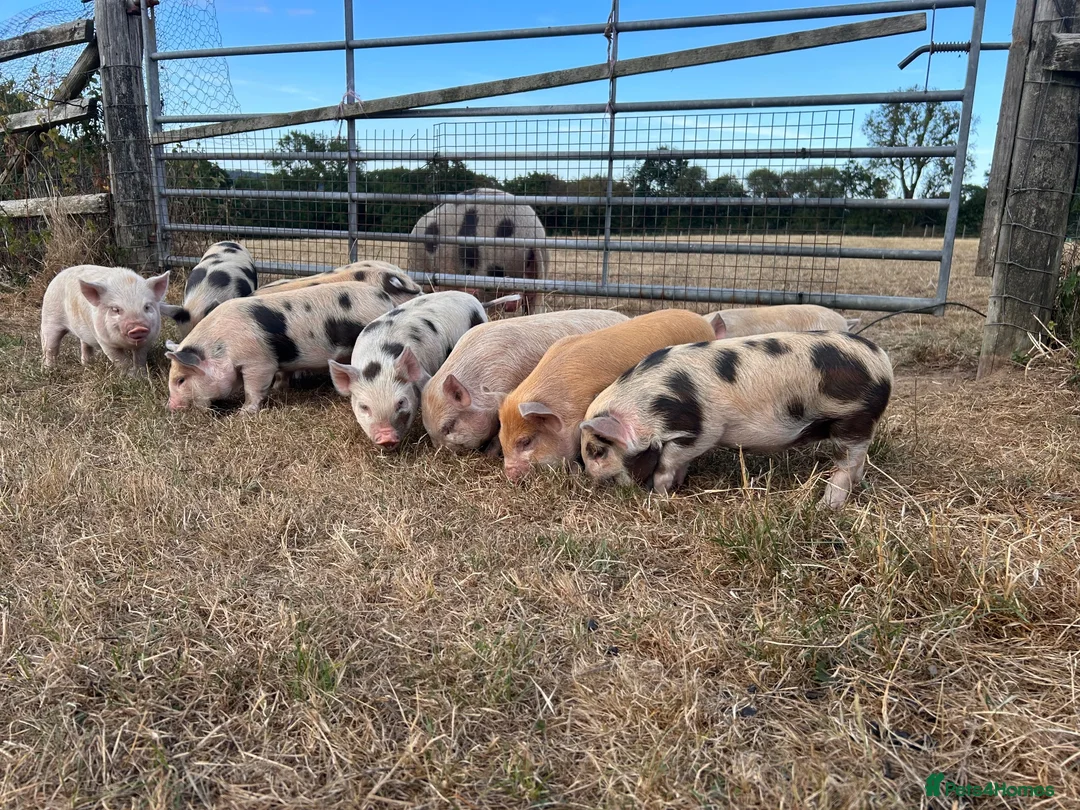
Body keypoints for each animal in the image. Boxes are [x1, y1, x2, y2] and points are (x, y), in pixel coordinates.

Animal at [40, 264, 171, 376]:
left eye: (147, 307)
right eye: (116, 309)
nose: (138, 327)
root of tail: (57, 276)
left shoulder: (147, 340)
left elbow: (140, 358)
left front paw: (143, 377)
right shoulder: (104, 341)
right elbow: (121, 360)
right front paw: (131, 377)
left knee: (85, 344)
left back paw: (88, 365)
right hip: (50, 319)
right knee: (50, 348)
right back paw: (49, 370)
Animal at [165, 281, 411, 414]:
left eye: (181, 380)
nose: (171, 406)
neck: (222, 346)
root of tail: (385, 300)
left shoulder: (258, 361)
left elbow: (253, 388)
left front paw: (244, 413)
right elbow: (283, 374)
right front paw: (279, 389)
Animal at [579, 331, 893, 509]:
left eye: (597, 450)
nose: (590, 477)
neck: (654, 402)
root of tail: (883, 363)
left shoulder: (701, 430)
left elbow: (668, 462)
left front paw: (658, 495)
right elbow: (679, 464)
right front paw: (677, 487)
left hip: (854, 418)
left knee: (845, 464)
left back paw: (826, 506)